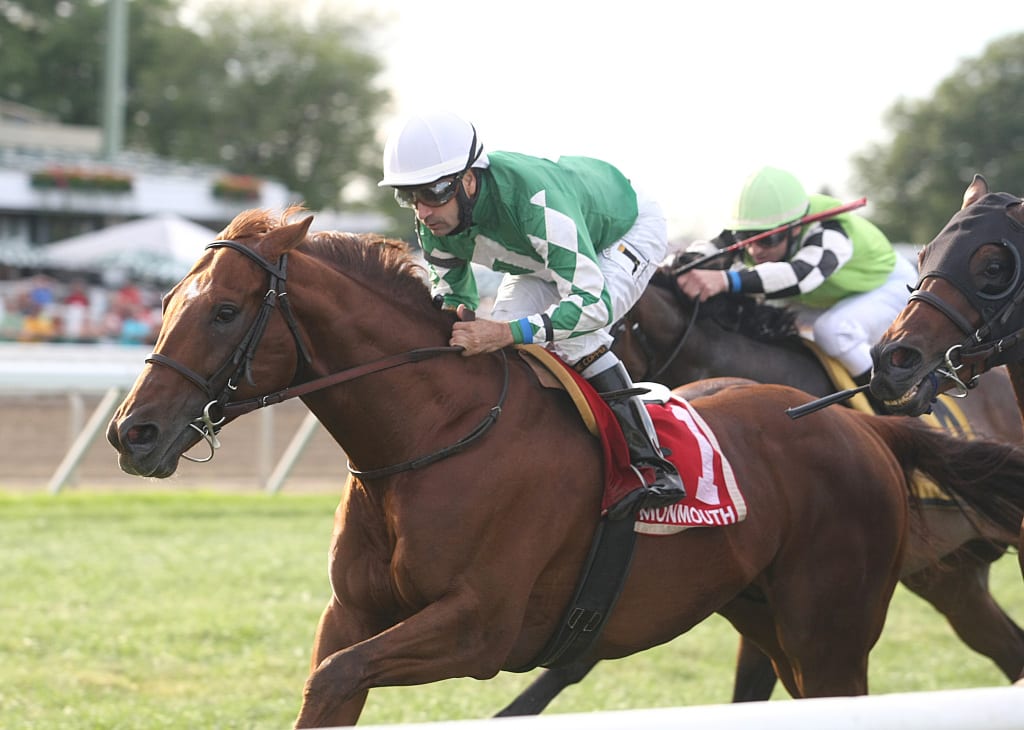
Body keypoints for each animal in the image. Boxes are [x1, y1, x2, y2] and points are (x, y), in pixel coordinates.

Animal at [105, 207, 1024, 724]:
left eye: (226, 311)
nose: (131, 434)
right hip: (766, 613)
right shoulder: (354, 616)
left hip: (833, 626)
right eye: (167, 302)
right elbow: (326, 687)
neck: (434, 438)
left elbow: (339, 680)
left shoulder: (479, 628)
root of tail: (866, 431)